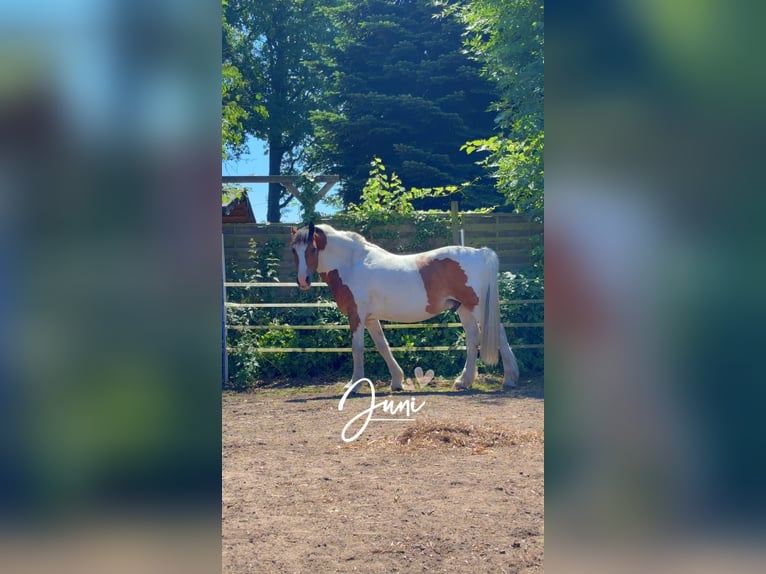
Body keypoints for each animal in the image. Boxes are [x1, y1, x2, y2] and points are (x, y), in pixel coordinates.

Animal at [290, 222, 520, 391]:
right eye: (293, 250)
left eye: (312, 249)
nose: (303, 280)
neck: (351, 264)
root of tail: (480, 252)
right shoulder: (371, 318)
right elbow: (382, 346)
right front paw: (397, 381)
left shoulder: (357, 315)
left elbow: (357, 349)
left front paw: (353, 385)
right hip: (464, 308)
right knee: (473, 337)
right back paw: (464, 381)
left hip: (478, 307)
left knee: (498, 333)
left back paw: (510, 378)